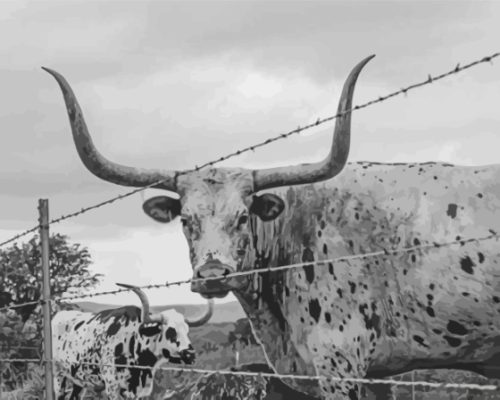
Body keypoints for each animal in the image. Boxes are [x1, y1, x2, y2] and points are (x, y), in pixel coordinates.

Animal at [52, 282, 213, 398]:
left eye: (187, 330)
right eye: (170, 331)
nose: (190, 354)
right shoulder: (112, 387)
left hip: (79, 380)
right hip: (59, 377)